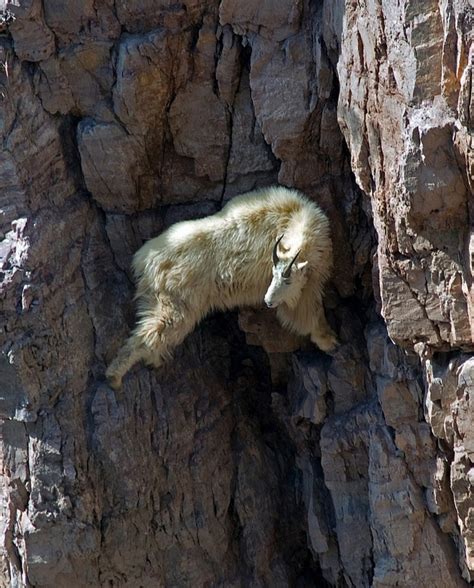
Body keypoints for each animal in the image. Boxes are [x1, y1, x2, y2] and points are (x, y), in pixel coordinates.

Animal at [107, 187, 336, 390]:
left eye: (286, 281)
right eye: (274, 275)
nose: (268, 301)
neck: (295, 219)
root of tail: (144, 260)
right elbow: (306, 310)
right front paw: (329, 340)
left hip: (157, 291)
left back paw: (152, 359)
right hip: (179, 289)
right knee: (165, 323)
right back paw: (115, 376)